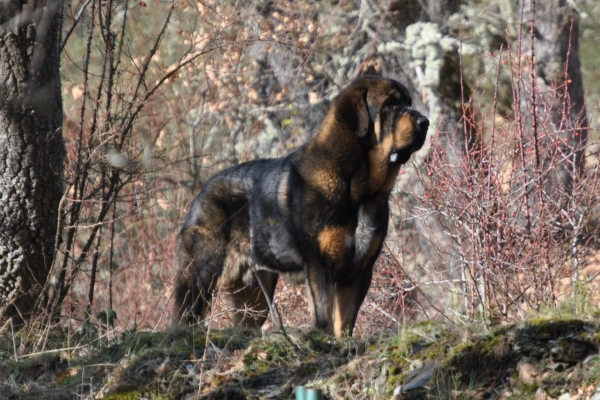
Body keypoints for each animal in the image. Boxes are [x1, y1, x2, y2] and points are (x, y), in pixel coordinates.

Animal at [171, 76, 428, 338]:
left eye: (408, 103)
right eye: (389, 105)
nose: (424, 121)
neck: (359, 188)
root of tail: (203, 189)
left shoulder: (359, 271)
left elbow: (344, 323)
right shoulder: (320, 264)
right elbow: (324, 317)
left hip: (254, 296)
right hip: (201, 275)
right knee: (185, 315)